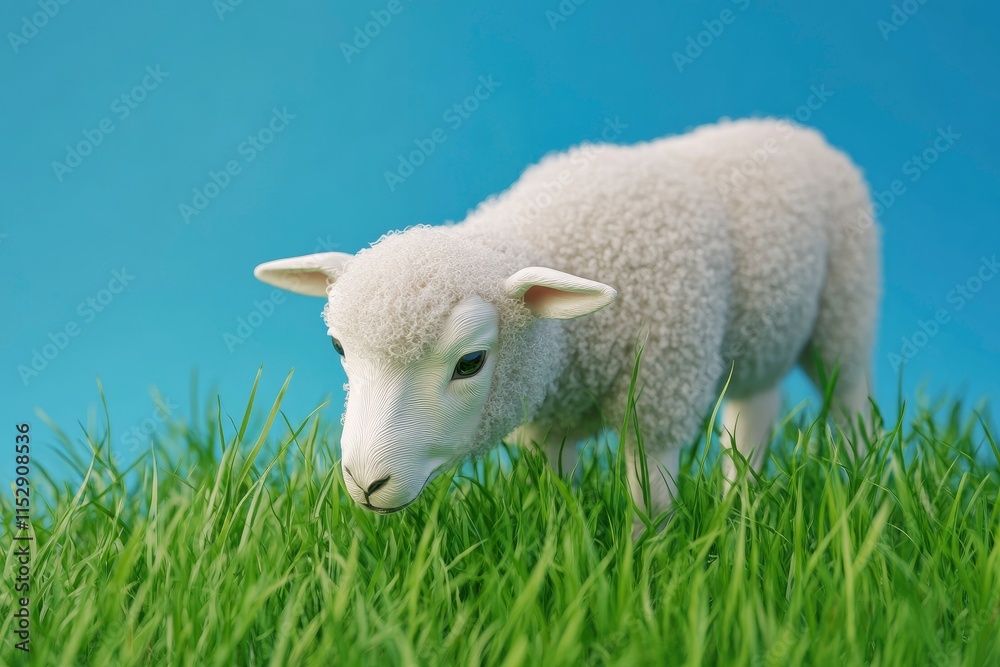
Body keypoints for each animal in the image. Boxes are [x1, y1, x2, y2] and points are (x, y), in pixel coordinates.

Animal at [253, 117, 881, 519]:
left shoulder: (661, 392)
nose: (365, 483)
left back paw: (861, 489)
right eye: (339, 349)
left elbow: (651, 501)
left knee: (849, 400)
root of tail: (793, 129)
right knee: (754, 411)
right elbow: (555, 488)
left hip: (846, 310)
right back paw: (740, 506)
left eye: (471, 362)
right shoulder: (551, 417)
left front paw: (646, 566)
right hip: (760, 342)